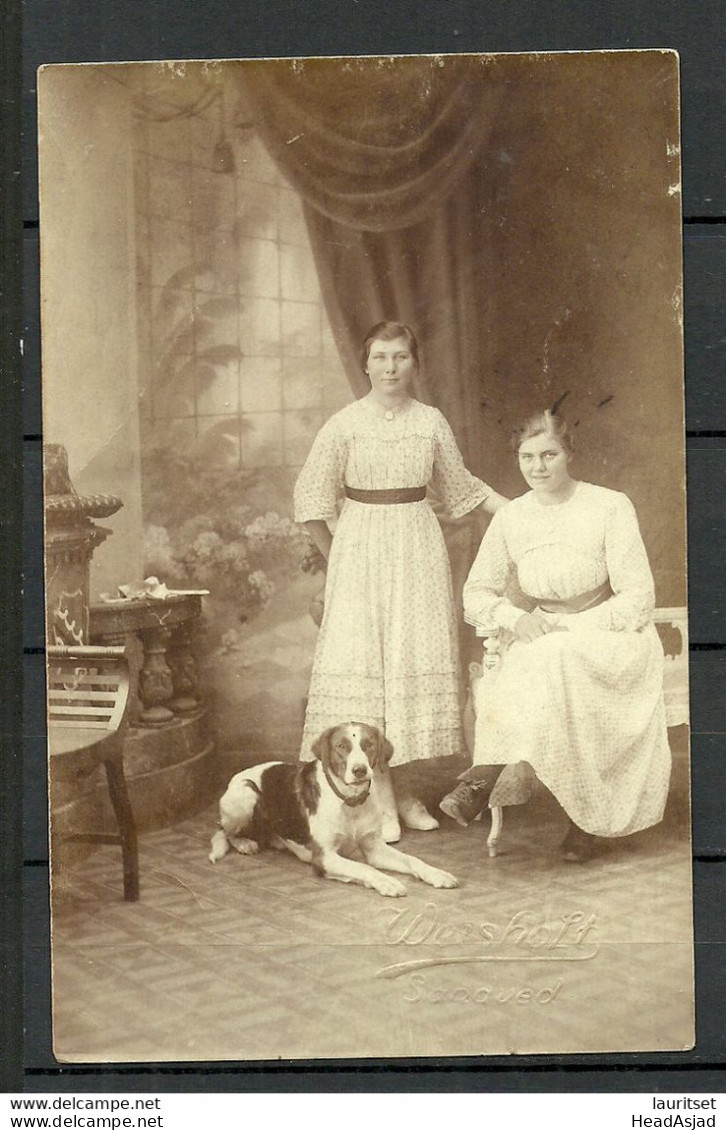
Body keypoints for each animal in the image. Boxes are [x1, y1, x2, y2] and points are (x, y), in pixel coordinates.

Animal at [209, 723, 454, 899]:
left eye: (368, 744)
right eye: (341, 746)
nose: (359, 770)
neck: (350, 802)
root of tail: (238, 775)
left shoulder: (374, 847)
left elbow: (413, 859)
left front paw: (437, 873)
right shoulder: (324, 858)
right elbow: (363, 868)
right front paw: (387, 881)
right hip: (246, 792)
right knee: (225, 832)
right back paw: (244, 843)